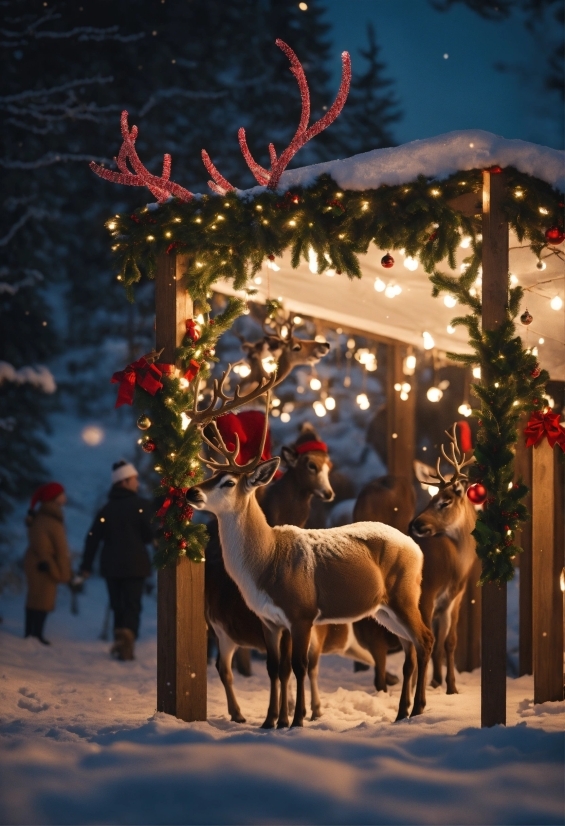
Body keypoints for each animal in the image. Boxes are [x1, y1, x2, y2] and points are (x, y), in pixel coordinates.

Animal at [188, 384, 432, 724]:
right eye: (209, 475)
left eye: (228, 481)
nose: (191, 492)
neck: (266, 560)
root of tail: (416, 548)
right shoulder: (268, 619)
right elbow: (274, 668)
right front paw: (270, 722)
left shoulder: (301, 612)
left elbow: (299, 666)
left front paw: (297, 719)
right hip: (383, 609)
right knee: (410, 646)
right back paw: (402, 713)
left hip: (404, 595)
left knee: (425, 640)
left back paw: (419, 708)